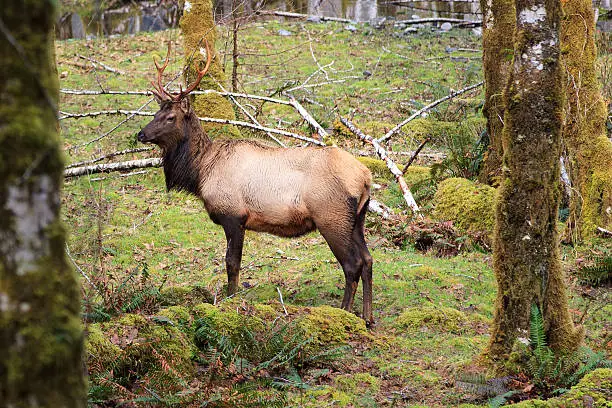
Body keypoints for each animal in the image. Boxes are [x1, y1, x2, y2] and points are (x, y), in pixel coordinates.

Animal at [139, 43, 376, 324]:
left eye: (170, 117)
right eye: (156, 112)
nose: (141, 134)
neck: (201, 172)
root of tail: (365, 178)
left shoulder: (234, 215)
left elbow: (232, 263)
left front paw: (230, 300)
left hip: (332, 217)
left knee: (353, 264)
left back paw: (345, 313)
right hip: (358, 218)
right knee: (368, 259)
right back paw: (368, 317)